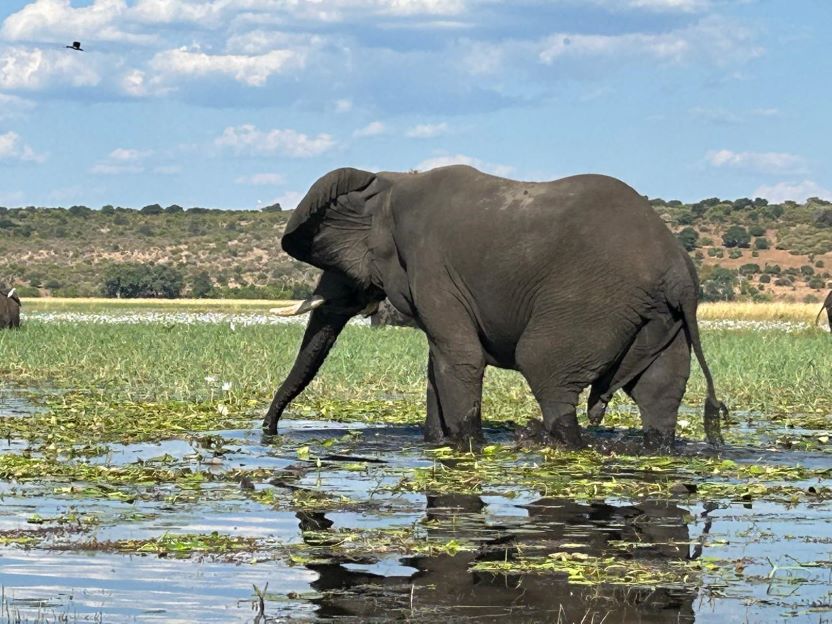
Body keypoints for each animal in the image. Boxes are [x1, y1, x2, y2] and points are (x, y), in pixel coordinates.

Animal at [265, 165, 726, 450]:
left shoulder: (432, 267)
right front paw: (438, 443)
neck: (391, 186)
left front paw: (468, 445)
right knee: (659, 393)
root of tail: (679, 270)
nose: (269, 433)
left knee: (546, 370)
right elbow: (439, 362)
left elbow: (461, 359)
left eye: (341, 268)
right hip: (663, 319)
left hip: (592, 304)